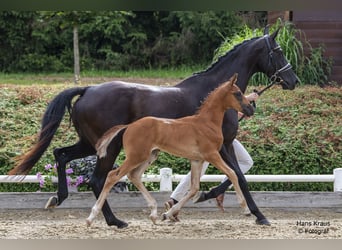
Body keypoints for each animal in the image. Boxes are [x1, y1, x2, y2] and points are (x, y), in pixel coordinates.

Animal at [85, 73, 254, 227]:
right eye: (237, 93)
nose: (250, 109)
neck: (206, 123)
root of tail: (129, 126)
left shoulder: (197, 160)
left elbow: (194, 188)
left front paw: (168, 214)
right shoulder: (212, 155)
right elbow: (232, 173)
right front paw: (246, 209)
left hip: (149, 156)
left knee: (134, 176)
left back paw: (153, 214)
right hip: (136, 156)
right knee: (112, 176)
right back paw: (92, 218)